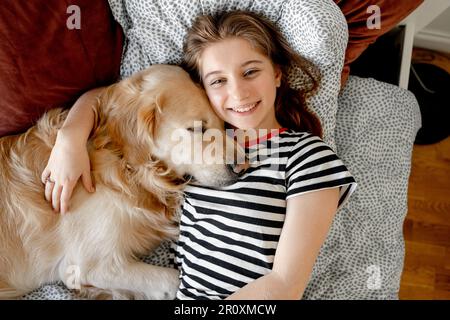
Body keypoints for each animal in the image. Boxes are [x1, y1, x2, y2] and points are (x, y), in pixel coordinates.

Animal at [0, 65, 243, 300]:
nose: (242, 165)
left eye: (223, 124)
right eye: (196, 128)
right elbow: (174, 281)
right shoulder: (87, 264)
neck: (123, 163)